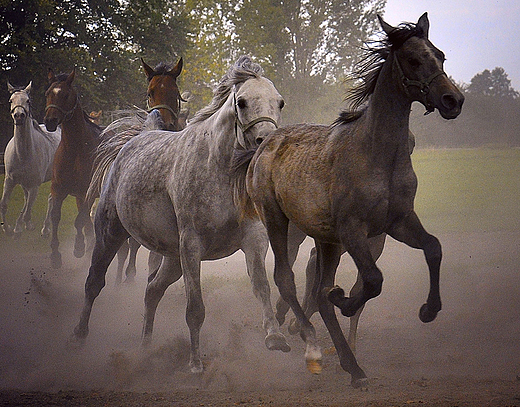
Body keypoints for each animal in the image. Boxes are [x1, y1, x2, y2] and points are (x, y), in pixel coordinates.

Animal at [0, 81, 61, 237]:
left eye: (27, 101)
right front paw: (9, 228)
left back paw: (45, 229)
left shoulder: (34, 185)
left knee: (50, 200)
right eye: (11, 100)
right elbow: (4, 205)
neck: (23, 154)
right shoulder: (10, 180)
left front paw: (26, 225)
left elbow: (27, 211)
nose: (19, 116)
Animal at [44, 68, 102, 270]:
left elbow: (80, 220)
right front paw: (55, 255)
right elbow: (56, 217)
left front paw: (78, 247)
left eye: (66, 94)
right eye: (48, 93)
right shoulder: (58, 189)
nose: (50, 121)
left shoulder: (87, 192)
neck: (75, 148)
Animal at [72, 57, 292, 372]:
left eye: (280, 102)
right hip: (110, 233)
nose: (266, 141)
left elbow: (261, 286)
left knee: (152, 290)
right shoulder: (191, 246)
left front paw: (275, 337)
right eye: (242, 102)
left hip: (172, 259)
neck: (220, 169)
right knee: (93, 283)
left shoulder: (253, 239)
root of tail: (136, 139)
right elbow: (195, 309)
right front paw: (196, 363)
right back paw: (79, 337)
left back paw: (146, 347)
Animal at [232, 13, 464, 388]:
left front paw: (429, 310)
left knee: (318, 293)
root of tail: (265, 143)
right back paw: (311, 345)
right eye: (414, 60)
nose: (452, 100)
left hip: (325, 240)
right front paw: (346, 300)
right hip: (278, 220)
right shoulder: (353, 230)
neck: (377, 155)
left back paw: (353, 367)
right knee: (286, 280)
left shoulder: (399, 222)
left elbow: (433, 248)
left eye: (440, 56)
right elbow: (372, 280)